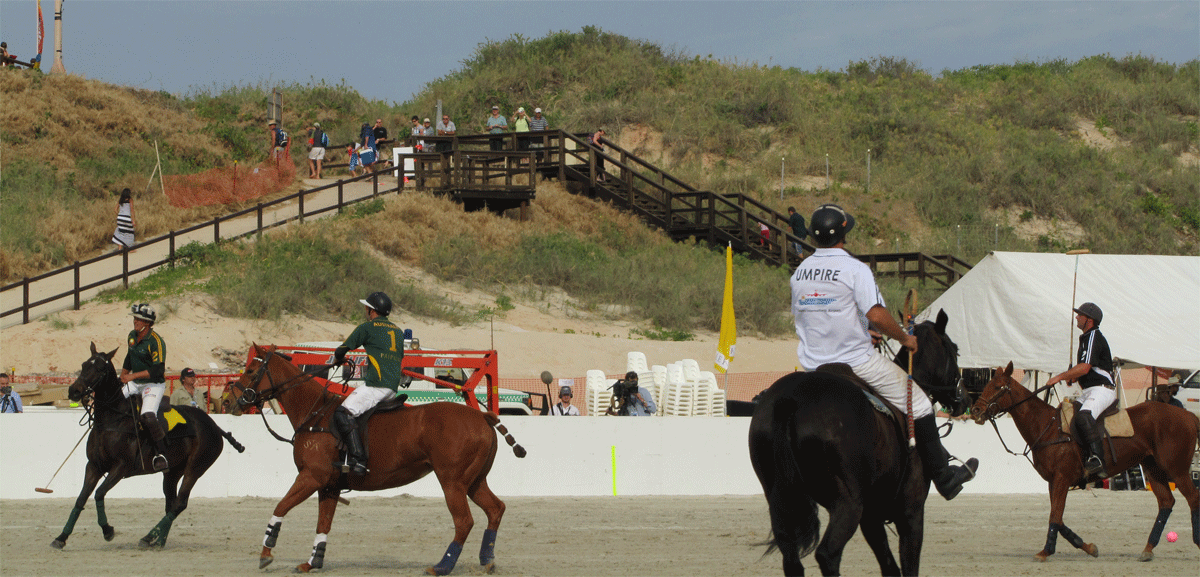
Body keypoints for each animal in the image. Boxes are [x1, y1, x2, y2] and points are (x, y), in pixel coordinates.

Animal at [52, 340, 244, 549]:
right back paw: (157, 540)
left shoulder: (120, 466)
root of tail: (214, 425)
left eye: (100, 368)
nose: (74, 391)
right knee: (171, 503)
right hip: (173, 471)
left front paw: (108, 530)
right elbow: (81, 499)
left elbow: (99, 493)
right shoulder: (94, 465)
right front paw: (61, 537)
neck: (113, 419)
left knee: (180, 503)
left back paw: (149, 536)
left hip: (196, 467)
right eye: (84, 364)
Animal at [226, 343, 523, 573]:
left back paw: (442, 567)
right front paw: (312, 562)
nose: (230, 402)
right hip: (474, 481)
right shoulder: (329, 485)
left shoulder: (311, 477)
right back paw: (487, 560)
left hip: (452, 481)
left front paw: (266, 554)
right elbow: (323, 523)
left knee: (464, 521)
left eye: (251, 371)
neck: (315, 414)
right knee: (495, 509)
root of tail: (483, 416)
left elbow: (280, 508)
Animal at [748, 307, 964, 573]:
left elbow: (890, 567)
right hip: (848, 502)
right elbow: (908, 566)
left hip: (779, 499)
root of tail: (789, 401)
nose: (963, 399)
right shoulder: (910, 511)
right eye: (955, 350)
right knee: (827, 553)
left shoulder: (871, 516)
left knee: (791, 559)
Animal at [969, 362, 1195, 559]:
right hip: (1152, 468)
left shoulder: (1061, 478)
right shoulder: (1053, 481)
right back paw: (1148, 550)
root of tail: (1191, 417)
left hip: (1178, 469)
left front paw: (1046, 552)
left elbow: (1055, 516)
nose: (975, 411)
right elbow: (1058, 518)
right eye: (987, 385)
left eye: (998, 387)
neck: (1047, 426)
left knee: (1193, 498)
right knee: (1166, 502)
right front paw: (1089, 547)